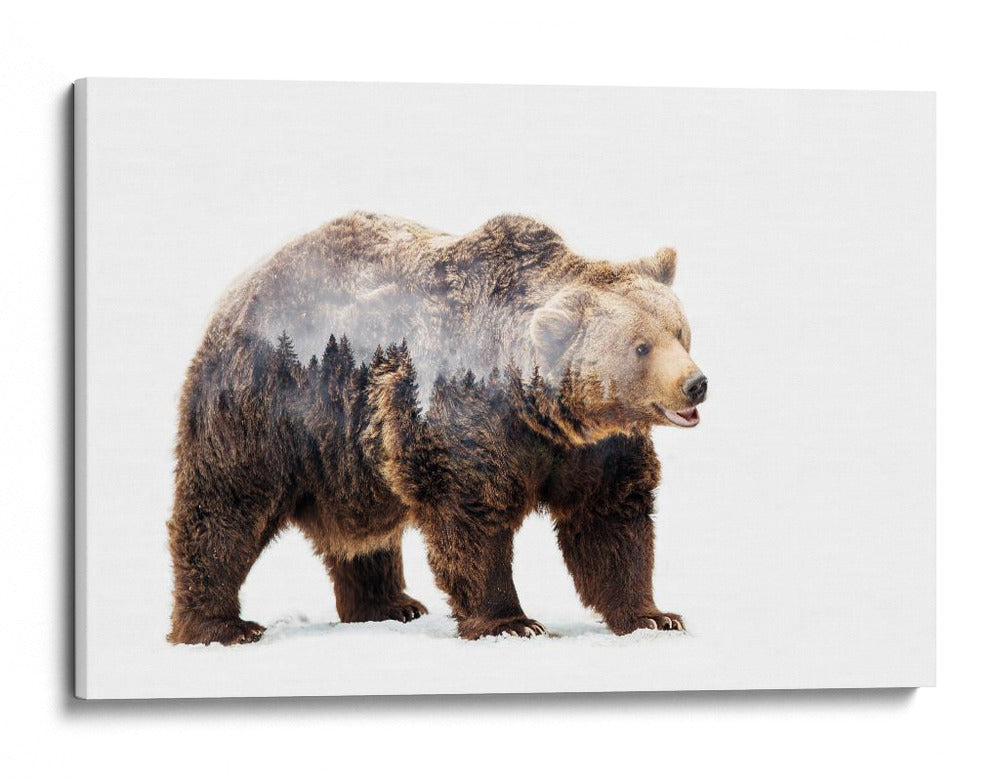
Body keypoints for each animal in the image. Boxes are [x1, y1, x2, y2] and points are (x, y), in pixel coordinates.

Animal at [167, 212, 707, 644]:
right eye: (640, 346)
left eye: (679, 331)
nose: (695, 384)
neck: (541, 411)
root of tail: (238, 289)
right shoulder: (465, 416)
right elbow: (471, 515)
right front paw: (512, 622)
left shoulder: (593, 449)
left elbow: (611, 520)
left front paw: (654, 616)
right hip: (266, 403)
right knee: (228, 505)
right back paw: (220, 626)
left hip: (348, 453)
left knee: (364, 533)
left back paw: (388, 604)